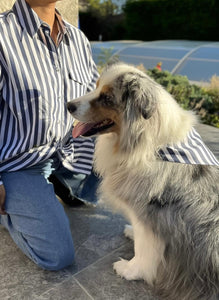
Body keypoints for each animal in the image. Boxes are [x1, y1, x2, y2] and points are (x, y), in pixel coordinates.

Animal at [67, 63, 219, 300]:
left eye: (107, 98)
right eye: (96, 86)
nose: (68, 105)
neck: (148, 147)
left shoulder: (150, 217)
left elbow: (144, 249)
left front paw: (129, 270)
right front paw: (131, 232)